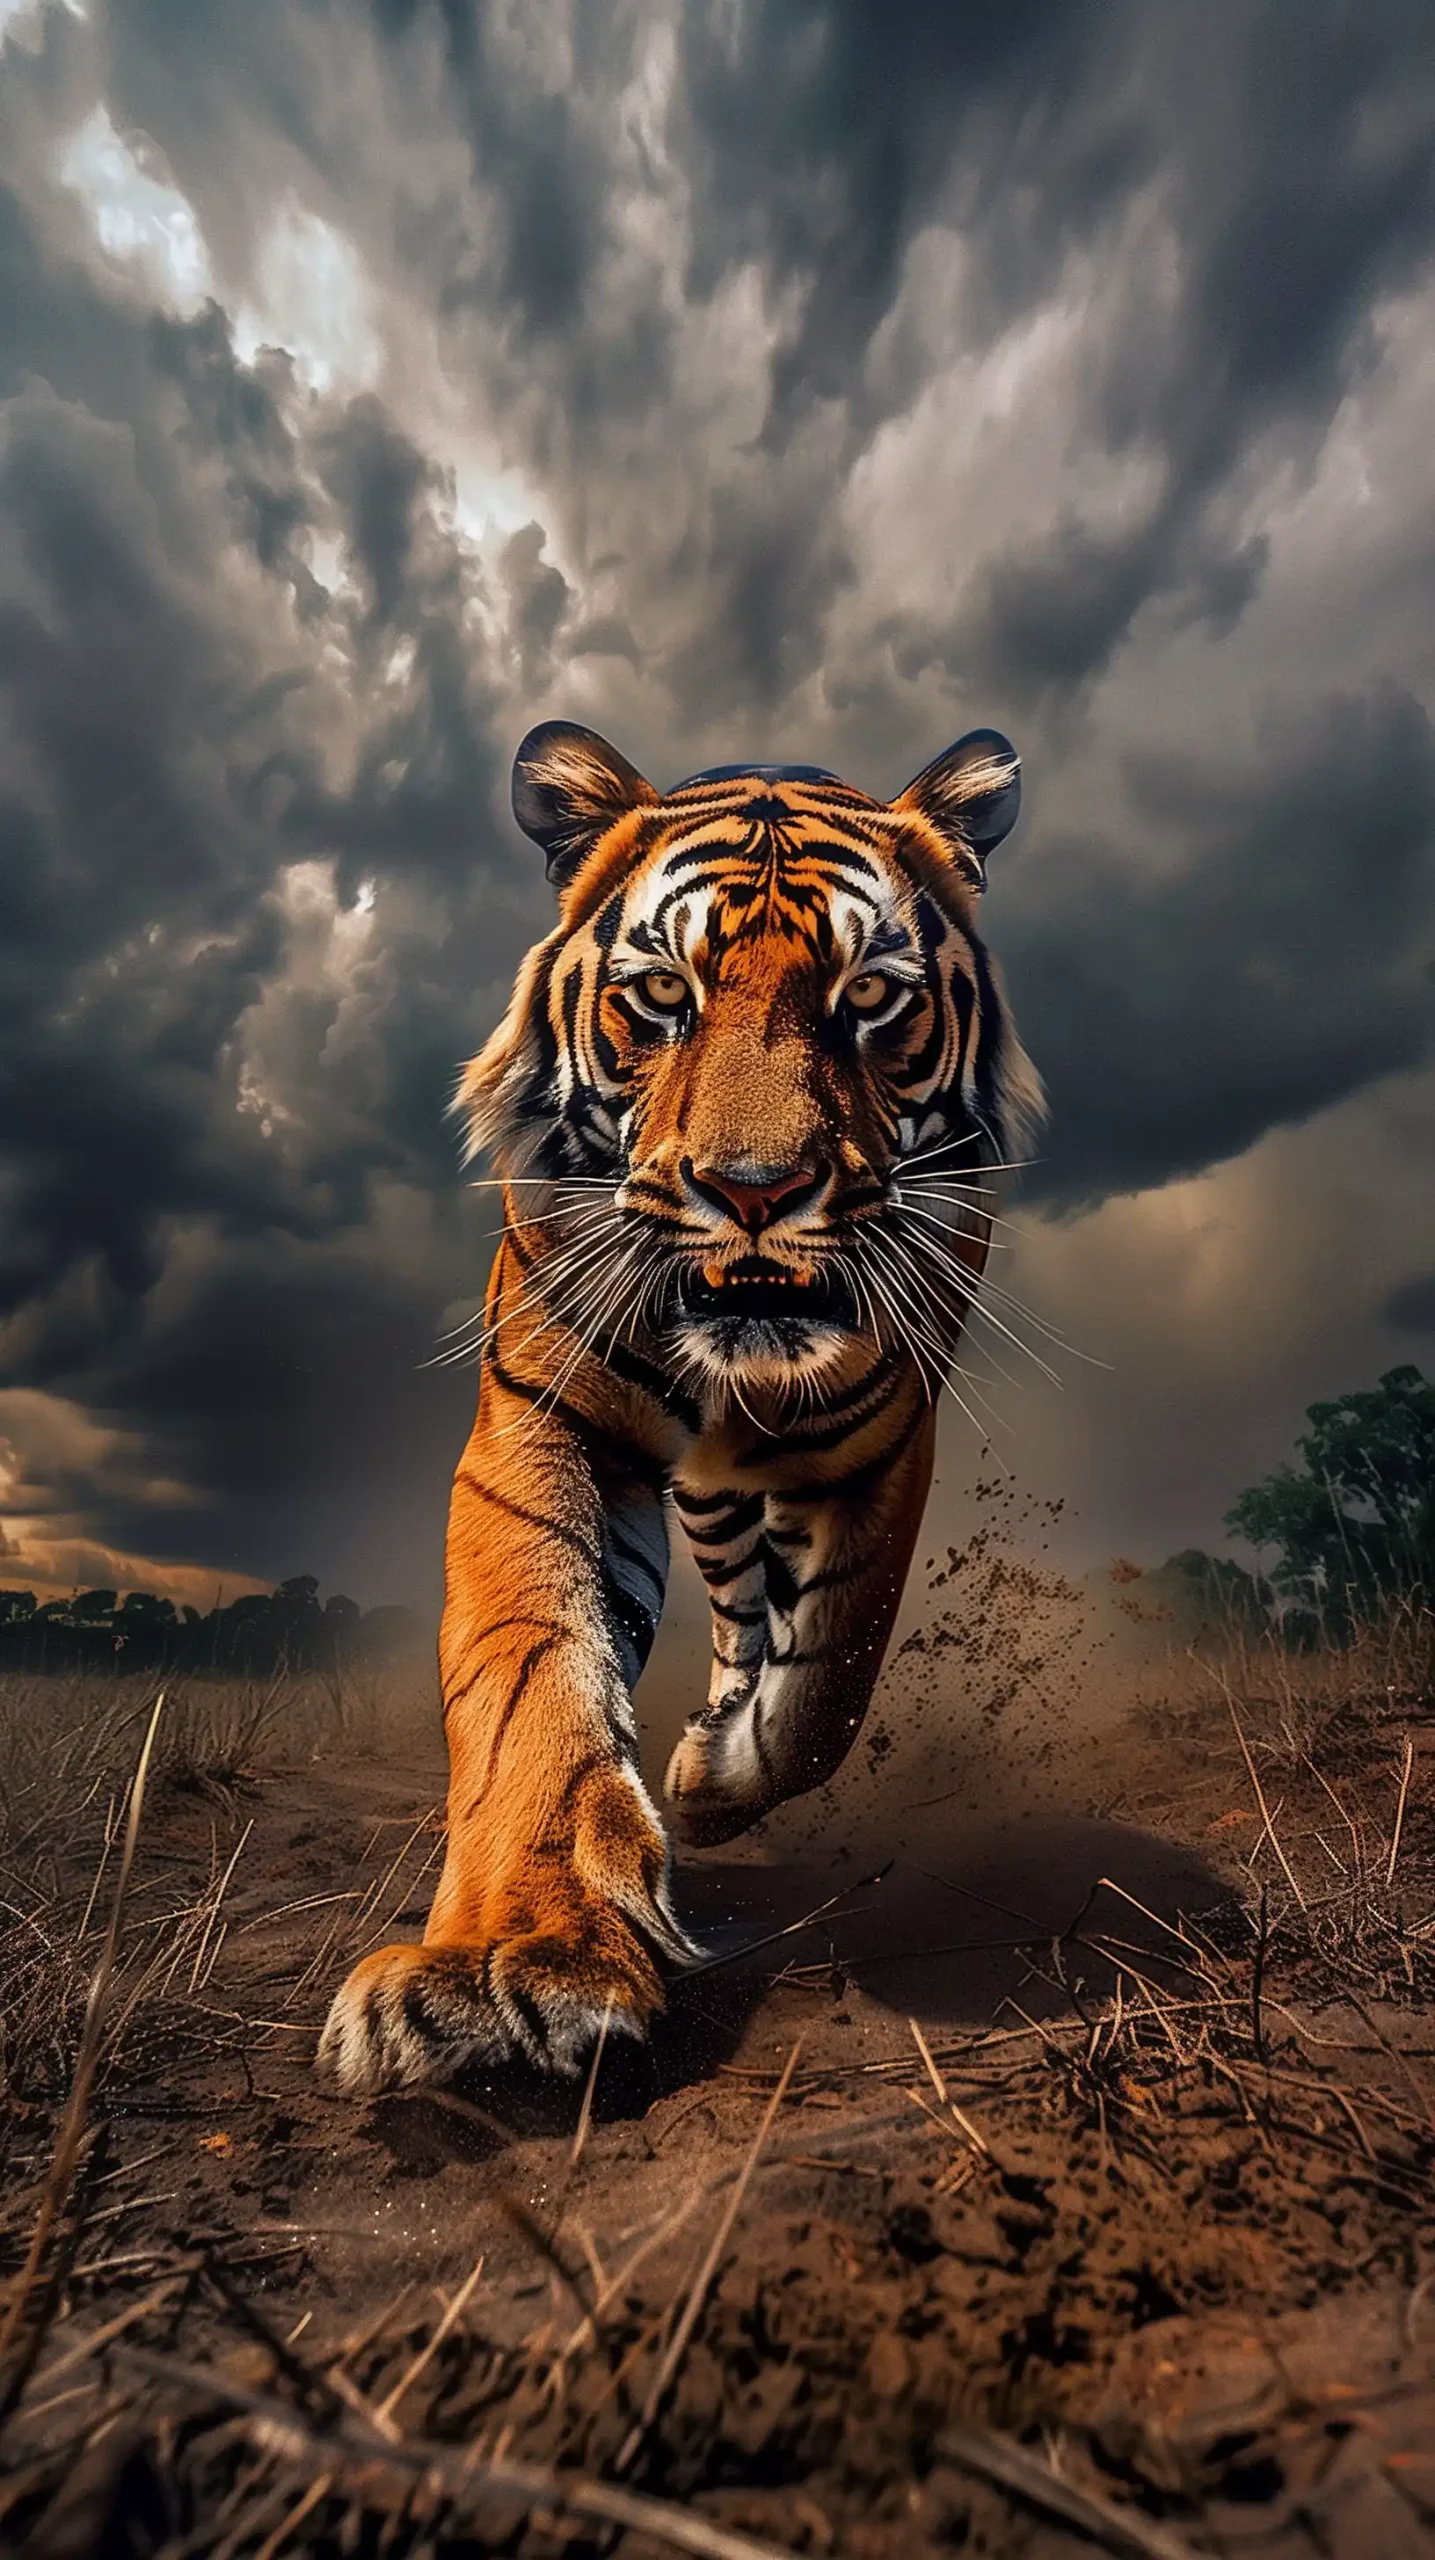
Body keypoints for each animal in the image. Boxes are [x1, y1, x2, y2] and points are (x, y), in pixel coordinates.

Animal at [319, 720, 1042, 2093]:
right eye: (662, 997)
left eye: (869, 998)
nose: (752, 1189)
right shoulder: (547, 1425)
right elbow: (530, 1680)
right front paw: (505, 1963)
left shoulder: (882, 1437)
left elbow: (832, 1670)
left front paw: (714, 1784)